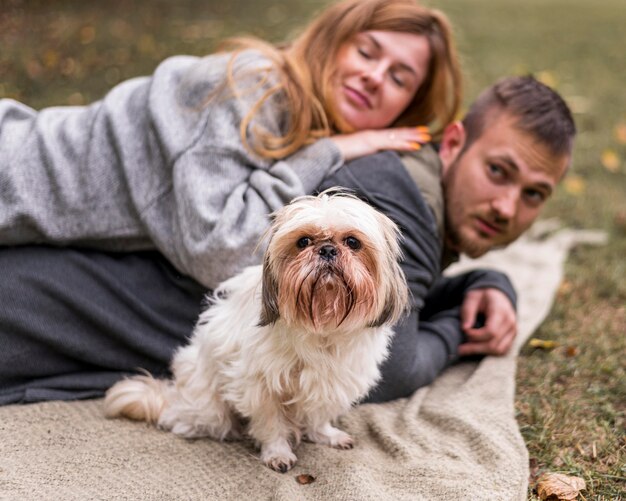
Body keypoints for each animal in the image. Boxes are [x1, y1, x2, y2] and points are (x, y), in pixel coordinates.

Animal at [105, 189, 408, 470]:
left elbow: (319, 414)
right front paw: (278, 452)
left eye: (353, 242)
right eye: (303, 241)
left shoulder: (332, 382)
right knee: (185, 420)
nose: (327, 249)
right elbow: (271, 422)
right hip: (209, 408)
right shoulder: (259, 386)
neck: (322, 324)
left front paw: (325, 434)